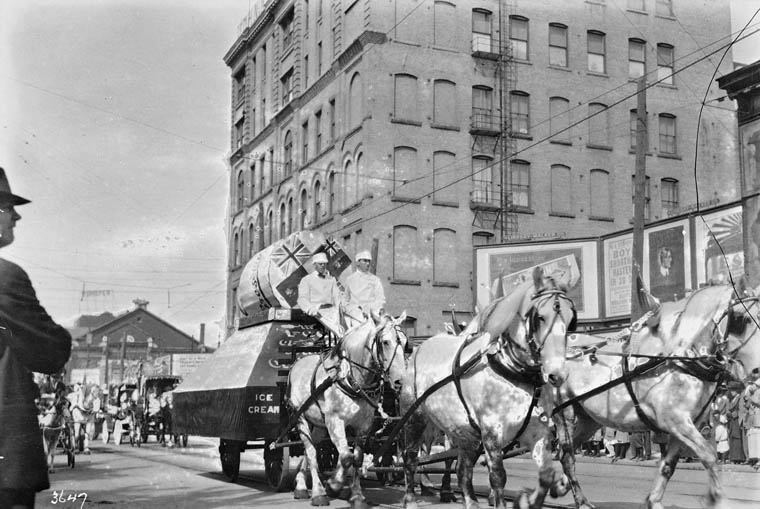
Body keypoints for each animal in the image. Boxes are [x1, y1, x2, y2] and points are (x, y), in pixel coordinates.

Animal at [284, 312, 406, 506]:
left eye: (406, 343)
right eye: (386, 342)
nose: (400, 381)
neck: (351, 379)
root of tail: (297, 363)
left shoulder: (363, 426)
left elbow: (356, 458)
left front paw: (356, 495)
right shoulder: (335, 421)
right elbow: (346, 457)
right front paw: (334, 484)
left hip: (319, 424)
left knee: (312, 446)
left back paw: (301, 484)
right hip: (299, 417)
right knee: (311, 452)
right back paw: (317, 492)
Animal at [400, 266, 572, 508]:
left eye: (571, 318)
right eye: (540, 317)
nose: (558, 374)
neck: (511, 370)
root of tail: (420, 347)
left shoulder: (537, 432)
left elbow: (547, 474)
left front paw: (537, 495)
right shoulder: (491, 433)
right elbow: (498, 476)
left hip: (465, 433)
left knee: (463, 470)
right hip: (415, 418)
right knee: (410, 458)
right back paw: (411, 498)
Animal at [552, 282, 760, 508]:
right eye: (740, 319)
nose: (756, 371)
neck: (681, 361)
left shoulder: (688, 424)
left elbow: (669, 465)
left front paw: (654, 500)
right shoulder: (675, 420)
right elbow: (709, 454)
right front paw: (716, 497)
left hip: (590, 419)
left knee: (567, 450)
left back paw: (564, 486)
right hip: (564, 411)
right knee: (567, 454)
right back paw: (580, 499)